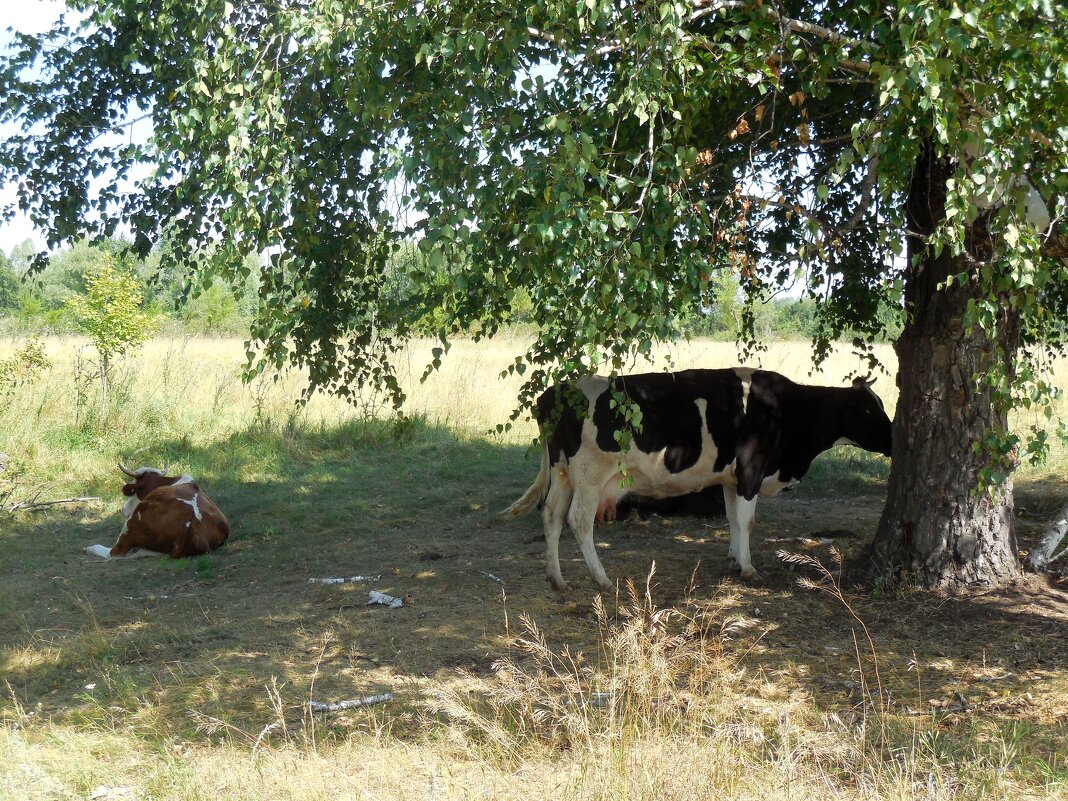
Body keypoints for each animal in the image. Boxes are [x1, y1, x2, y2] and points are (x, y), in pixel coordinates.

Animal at [84, 467, 229, 559]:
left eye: (132, 492)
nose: (123, 509)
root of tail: (191, 525)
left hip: (131, 523)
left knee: (113, 553)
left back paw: (89, 548)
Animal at [499, 367, 892, 593]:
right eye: (868, 408)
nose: (893, 440)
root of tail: (553, 393)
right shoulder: (751, 470)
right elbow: (748, 521)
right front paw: (749, 569)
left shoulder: (731, 479)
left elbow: (734, 519)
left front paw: (734, 560)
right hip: (590, 475)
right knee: (578, 521)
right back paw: (601, 578)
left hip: (563, 473)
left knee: (551, 516)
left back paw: (557, 579)